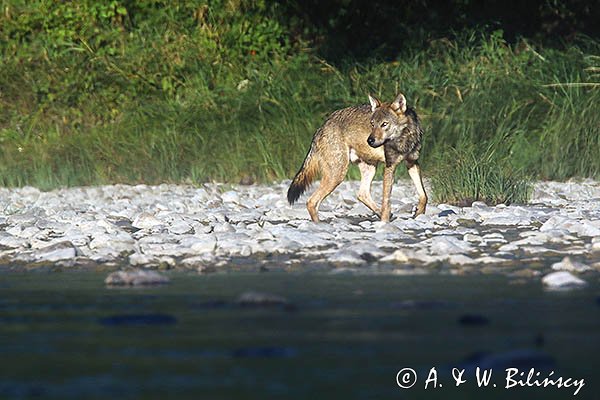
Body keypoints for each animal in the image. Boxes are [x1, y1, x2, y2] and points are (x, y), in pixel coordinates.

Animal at [286, 92, 426, 223]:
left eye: (384, 124)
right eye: (372, 124)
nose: (369, 140)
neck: (404, 139)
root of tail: (321, 128)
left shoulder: (412, 162)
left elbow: (423, 194)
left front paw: (419, 212)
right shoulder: (389, 166)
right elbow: (386, 202)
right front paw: (384, 223)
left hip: (369, 169)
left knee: (361, 194)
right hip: (337, 175)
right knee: (311, 201)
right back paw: (319, 225)